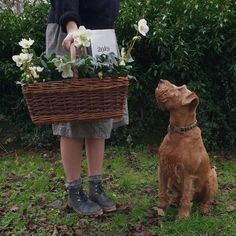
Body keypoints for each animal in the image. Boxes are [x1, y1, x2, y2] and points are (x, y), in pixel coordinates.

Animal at [155, 79, 218, 219]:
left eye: (180, 89)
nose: (161, 80)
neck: (179, 133)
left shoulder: (188, 175)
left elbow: (186, 197)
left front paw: (183, 216)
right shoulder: (163, 167)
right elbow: (161, 189)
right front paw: (161, 205)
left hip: (212, 177)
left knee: (206, 199)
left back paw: (204, 209)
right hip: (172, 180)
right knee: (178, 194)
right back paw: (173, 201)